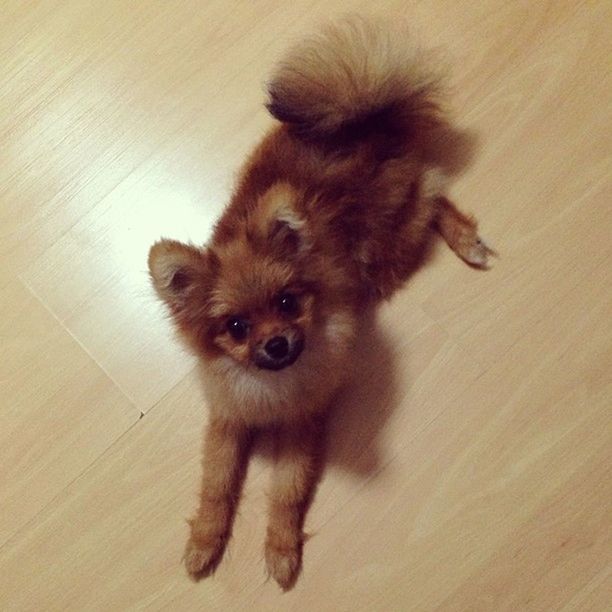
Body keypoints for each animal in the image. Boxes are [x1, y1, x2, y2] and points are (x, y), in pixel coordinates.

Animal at [147, 16, 492, 592]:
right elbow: (217, 486)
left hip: (385, 251)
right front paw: (204, 544)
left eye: (288, 302)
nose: (277, 343)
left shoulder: (302, 426)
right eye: (236, 327)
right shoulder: (228, 422)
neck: (271, 390)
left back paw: (468, 242)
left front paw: (281, 551)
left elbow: (286, 494)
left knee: (434, 192)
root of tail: (363, 121)